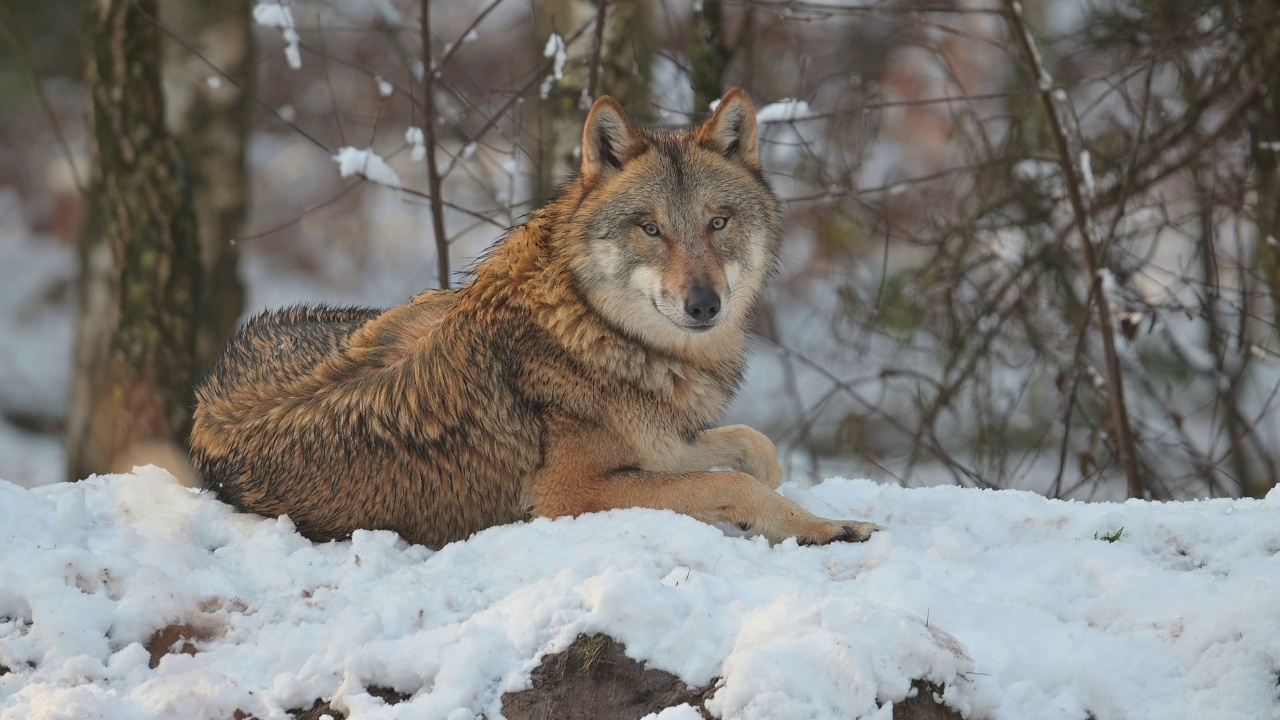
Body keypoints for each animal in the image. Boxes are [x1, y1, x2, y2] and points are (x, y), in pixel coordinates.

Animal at [189, 90, 880, 548]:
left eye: (718, 222)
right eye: (650, 229)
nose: (704, 304)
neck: (594, 328)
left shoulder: (658, 441)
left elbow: (756, 449)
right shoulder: (567, 496)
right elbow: (733, 482)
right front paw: (831, 526)